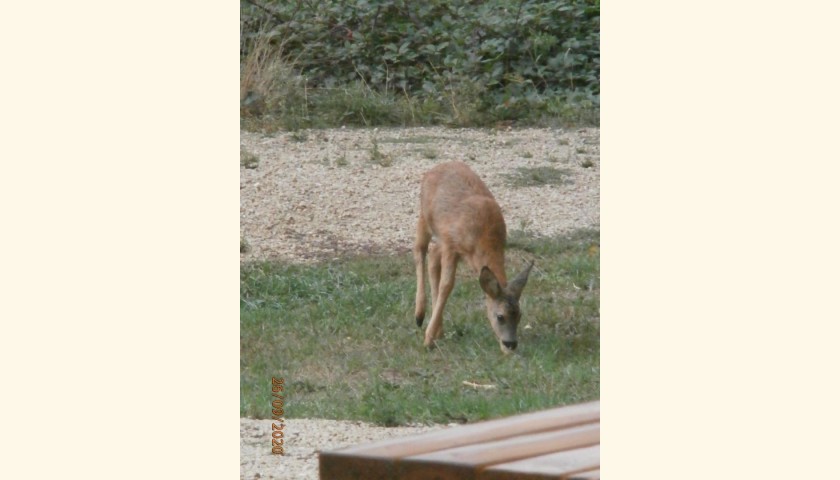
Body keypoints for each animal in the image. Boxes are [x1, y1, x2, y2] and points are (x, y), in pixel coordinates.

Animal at [414, 161, 532, 352]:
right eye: (500, 316)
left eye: (519, 314)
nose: (510, 345)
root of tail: (434, 168)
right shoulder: (451, 246)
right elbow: (447, 285)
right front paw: (428, 339)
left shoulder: (450, 244)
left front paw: (433, 333)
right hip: (425, 217)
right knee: (419, 250)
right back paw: (419, 315)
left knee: (431, 257)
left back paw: (437, 327)